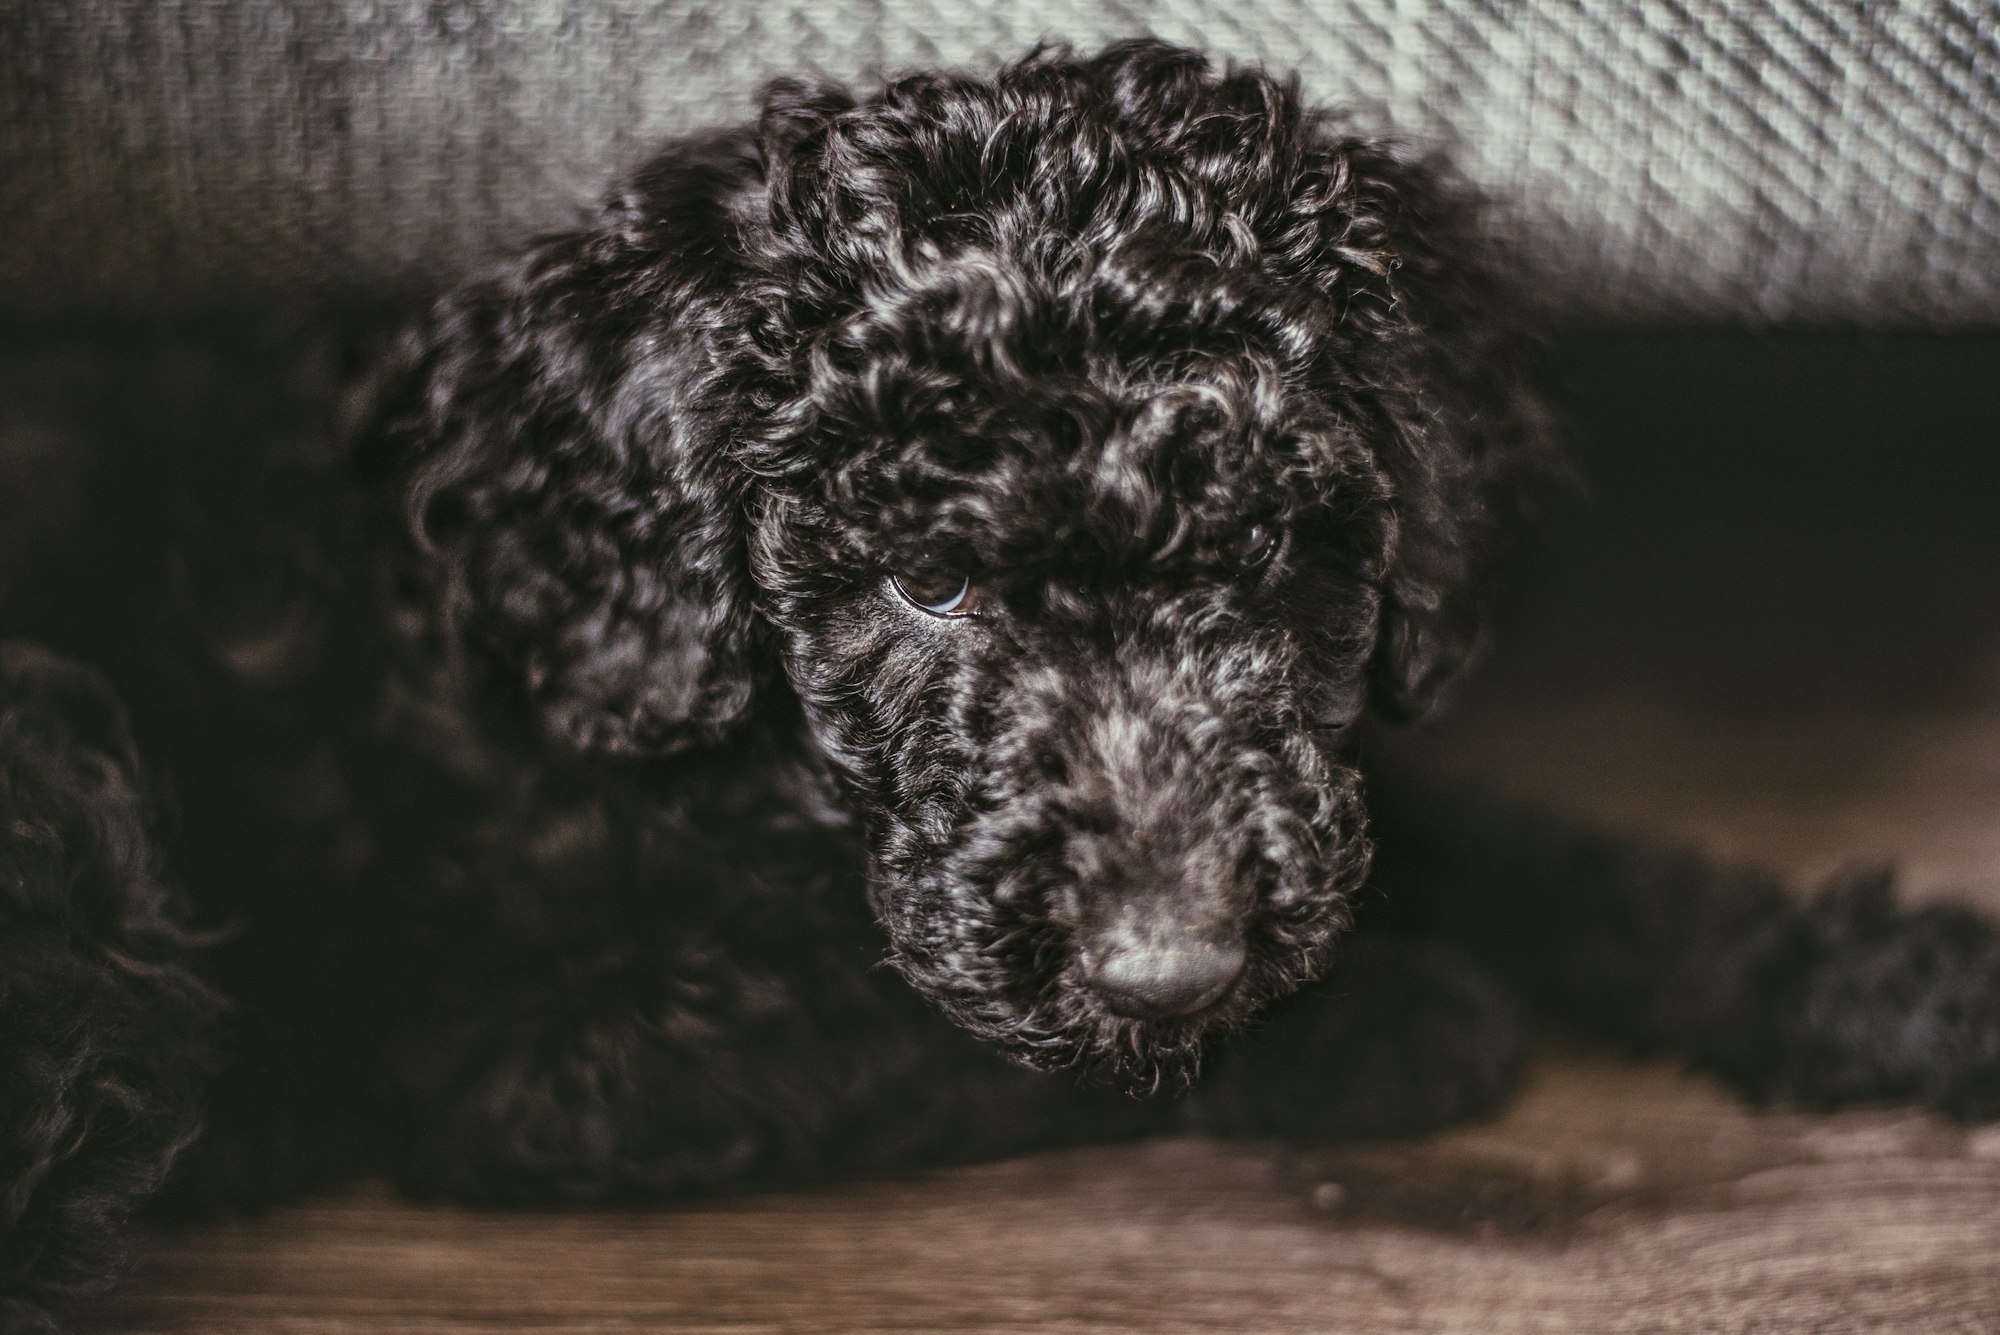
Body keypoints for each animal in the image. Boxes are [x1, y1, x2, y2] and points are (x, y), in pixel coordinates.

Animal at [3, 39, 2000, 1327]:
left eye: (1278, 559)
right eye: (925, 579)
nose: (1173, 959)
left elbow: (1543, 850)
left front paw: (1897, 980)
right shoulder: (539, 1051)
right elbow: (929, 1034)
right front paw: (1392, 1023)